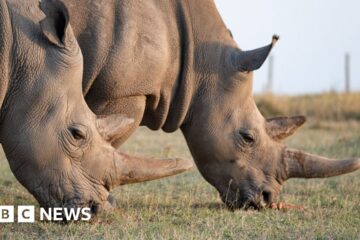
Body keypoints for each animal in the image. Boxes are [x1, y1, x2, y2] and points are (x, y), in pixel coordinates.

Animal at [54, 0, 360, 210]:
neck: (198, 61)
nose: (267, 198)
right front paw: (102, 202)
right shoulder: (122, 92)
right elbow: (104, 141)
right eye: (247, 138)